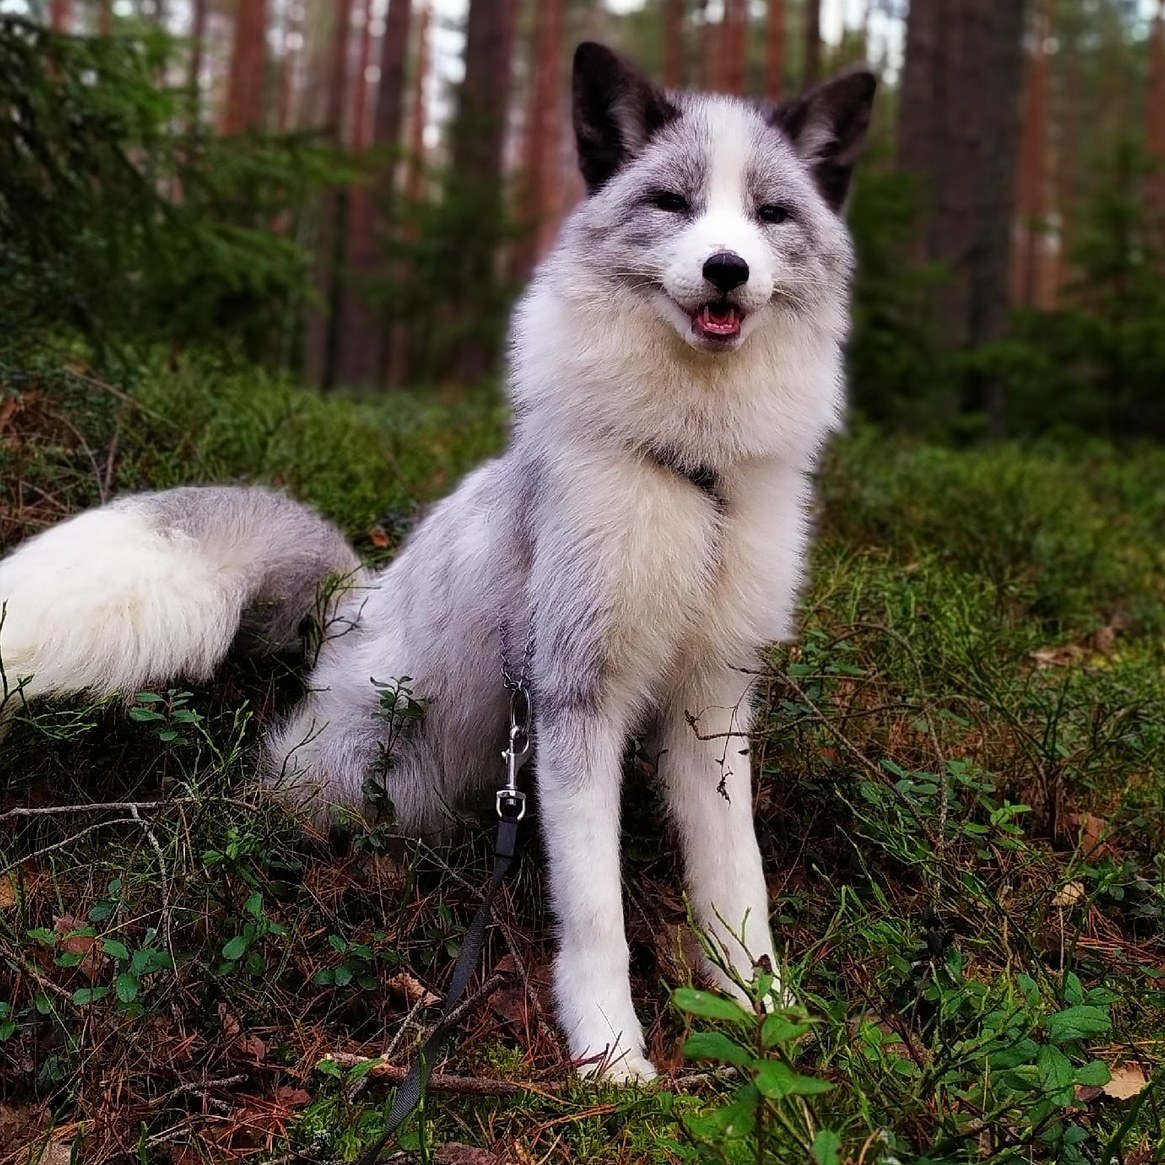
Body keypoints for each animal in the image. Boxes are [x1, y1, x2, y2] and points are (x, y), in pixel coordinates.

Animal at [0, 45, 876, 1081]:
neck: (695, 477)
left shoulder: (714, 701)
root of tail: (353, 596)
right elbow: (595, 913)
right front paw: (611, 1057)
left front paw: (764, 1014)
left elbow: (739, 884)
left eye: (770, 213)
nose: (726, 268)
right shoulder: (574, 696)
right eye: (672, 201)